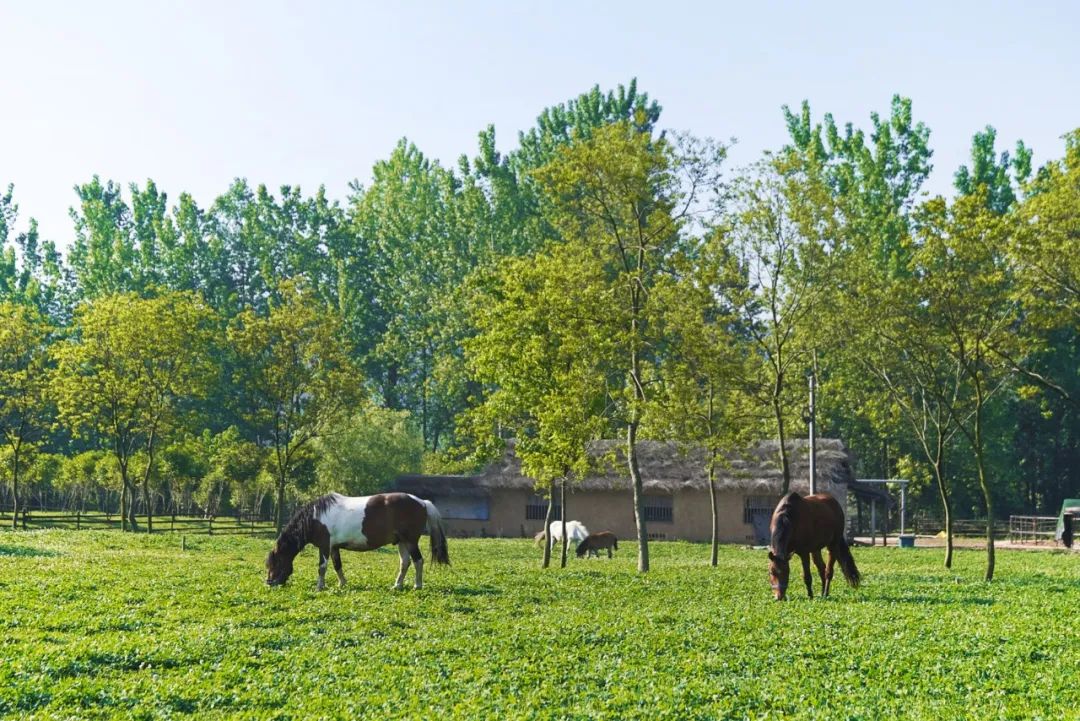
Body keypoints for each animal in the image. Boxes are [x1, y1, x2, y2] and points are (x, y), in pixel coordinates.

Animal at [267, 496, 449, 591]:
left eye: (275, 563)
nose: (269, 583)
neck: (315, 518)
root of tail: (422, 502)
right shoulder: (333, 547)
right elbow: (337, 565)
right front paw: (342, 583)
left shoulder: (324, 546)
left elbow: (322, 567)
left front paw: (320, 586)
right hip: (402, 542)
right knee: (405, 563)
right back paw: (397, 585)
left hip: (410, 541)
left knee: (418, 561)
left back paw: (417, 585)